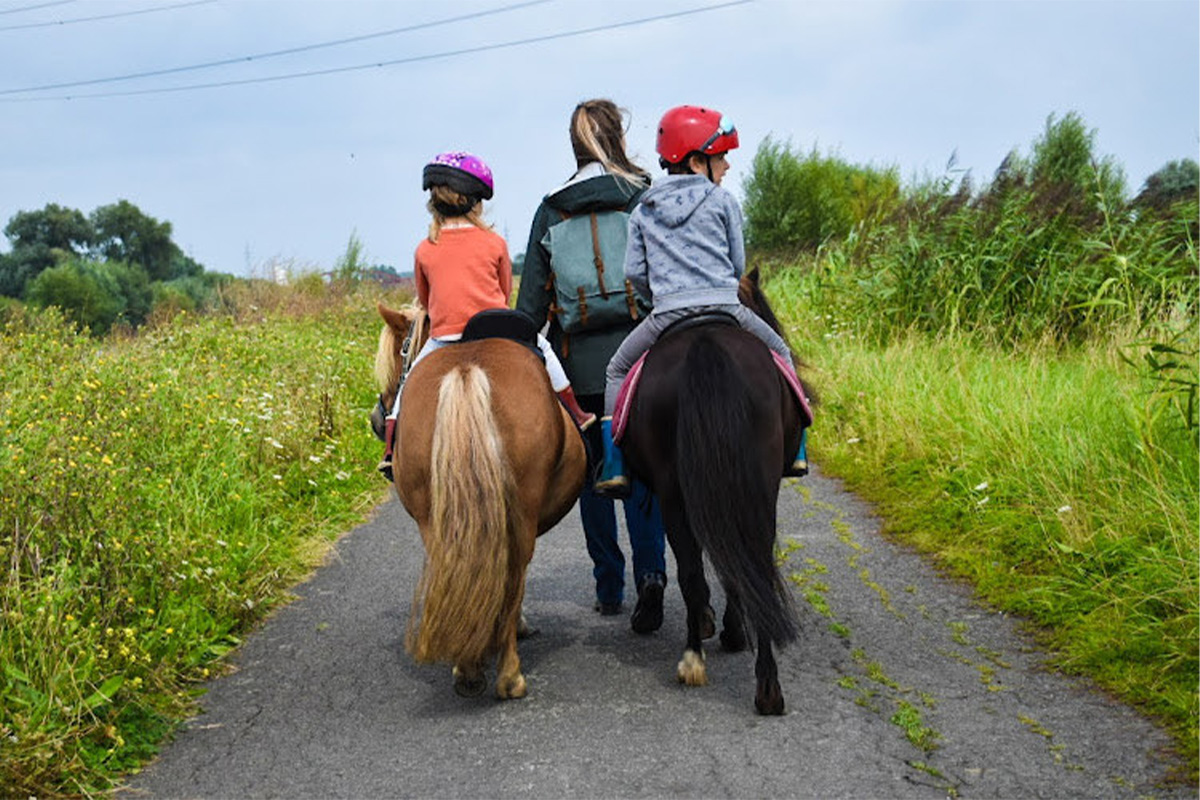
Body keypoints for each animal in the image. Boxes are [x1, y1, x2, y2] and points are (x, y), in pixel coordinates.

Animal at [371, 303, 587, 699]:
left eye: (399, 357)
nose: (378, 419)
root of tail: (466, 369)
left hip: (435, 520)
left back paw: (471, 667)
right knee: (513, 576)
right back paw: (507, 673)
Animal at [618, 268, 810, 715]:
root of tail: (706, 342)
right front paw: (727, 630)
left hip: (682, 493)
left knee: (708, 570)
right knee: (741, 564)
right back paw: (752, 680)